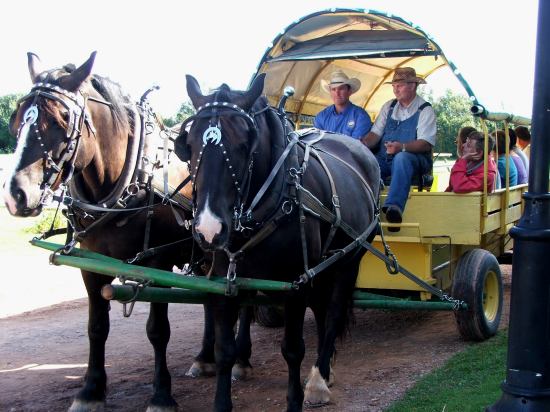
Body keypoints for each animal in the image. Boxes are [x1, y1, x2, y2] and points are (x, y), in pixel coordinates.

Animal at [2, 53, 256, 410]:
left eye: (63, 119)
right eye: (16, 119)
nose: (16, 195)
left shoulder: (158, 263)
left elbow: (158, 330)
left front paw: (161, 394)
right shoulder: (90, 264)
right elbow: (96, 327)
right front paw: (91, 390)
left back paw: (241, 360)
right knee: (211, 299)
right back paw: (205, 357)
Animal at [179, 75, 382, 412]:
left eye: (243, 145)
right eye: (190, 144)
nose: (209, 229)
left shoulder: (295, 284)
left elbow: (292, 349)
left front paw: (296, 398)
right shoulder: (225, 280)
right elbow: (224, 349)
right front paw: (222, 398)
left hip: (347, 261)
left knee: (333, 314)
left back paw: (319, 379)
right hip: (320, 268)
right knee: (323, 310)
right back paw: (325, 370)